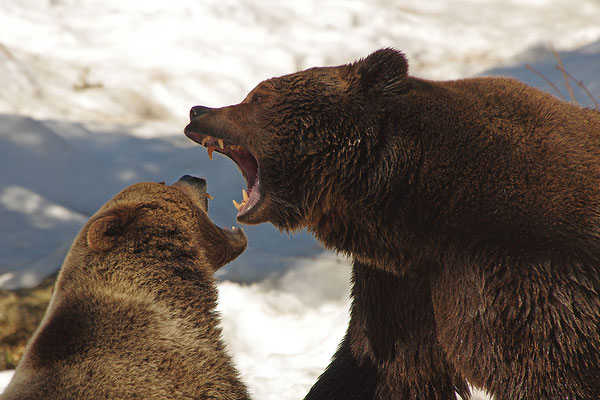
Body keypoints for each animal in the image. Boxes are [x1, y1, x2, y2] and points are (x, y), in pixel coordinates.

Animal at [185, 50, 600, 400]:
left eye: (258, 96)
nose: (196, 110)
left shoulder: (520, 275)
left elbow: (544, 372)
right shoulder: (405, 284)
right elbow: (385, 367)